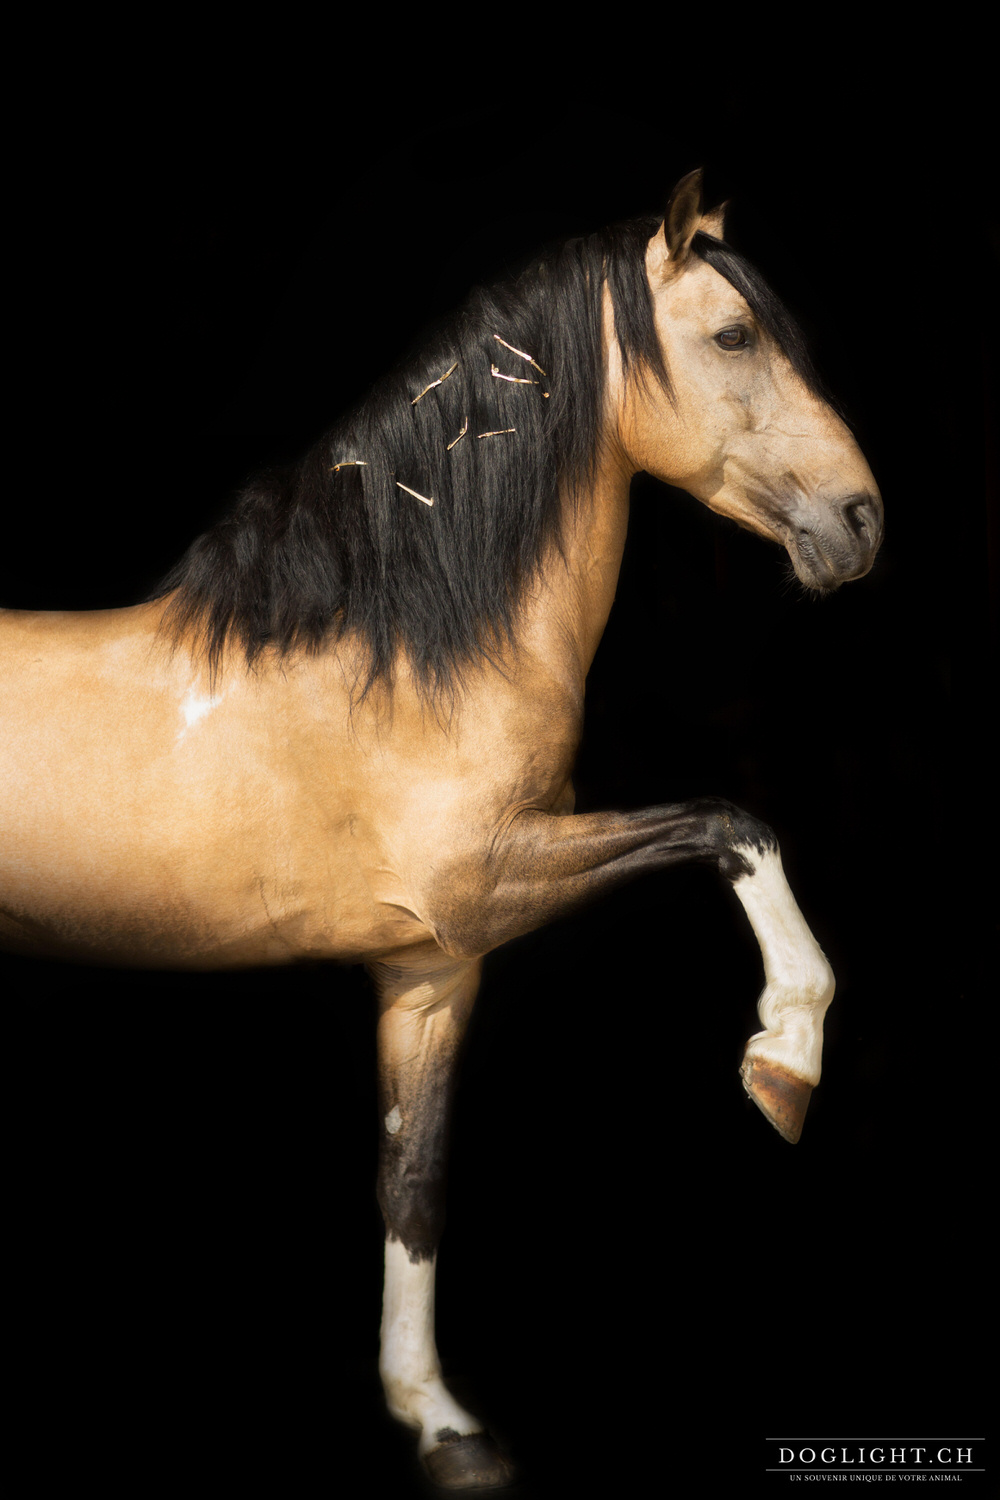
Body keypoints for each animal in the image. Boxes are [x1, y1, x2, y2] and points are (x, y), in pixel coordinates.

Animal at [0, 172, 881, 1488]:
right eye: (735, 336)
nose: (860, 520)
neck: (404, 658)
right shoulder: (488, 882)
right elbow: (732, 823)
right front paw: (785, 1059)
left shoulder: (430, 968)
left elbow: (410, 1186)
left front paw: (440, 1424)